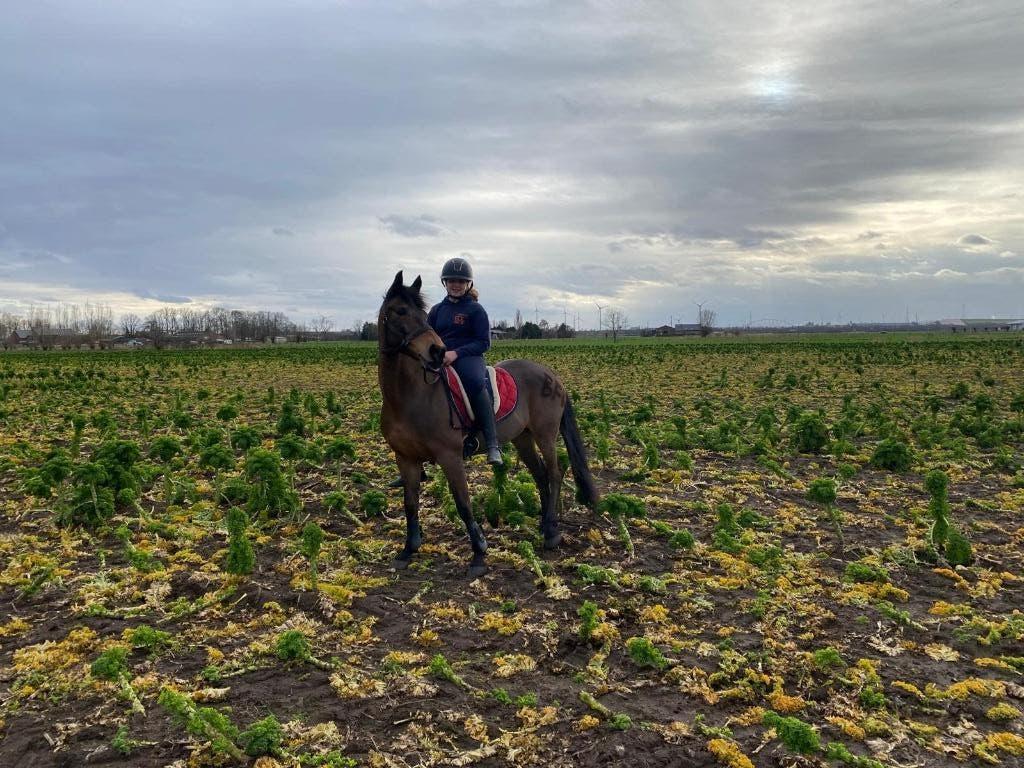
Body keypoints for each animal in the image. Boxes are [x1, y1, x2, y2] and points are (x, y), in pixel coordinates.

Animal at [377, 271, 600, 577]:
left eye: (422, 314)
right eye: (400, 311)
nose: (438, 351)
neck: (409, 395)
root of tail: (551, 374)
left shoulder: (450, 456)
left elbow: (463, 503)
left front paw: (479, 553)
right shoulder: (405, 458)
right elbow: (410, 503)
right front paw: (408, 549)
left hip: (545, 434)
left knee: (554, 473)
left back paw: (552, 533)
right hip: (522, 438)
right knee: (541, 475)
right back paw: (545, 524)